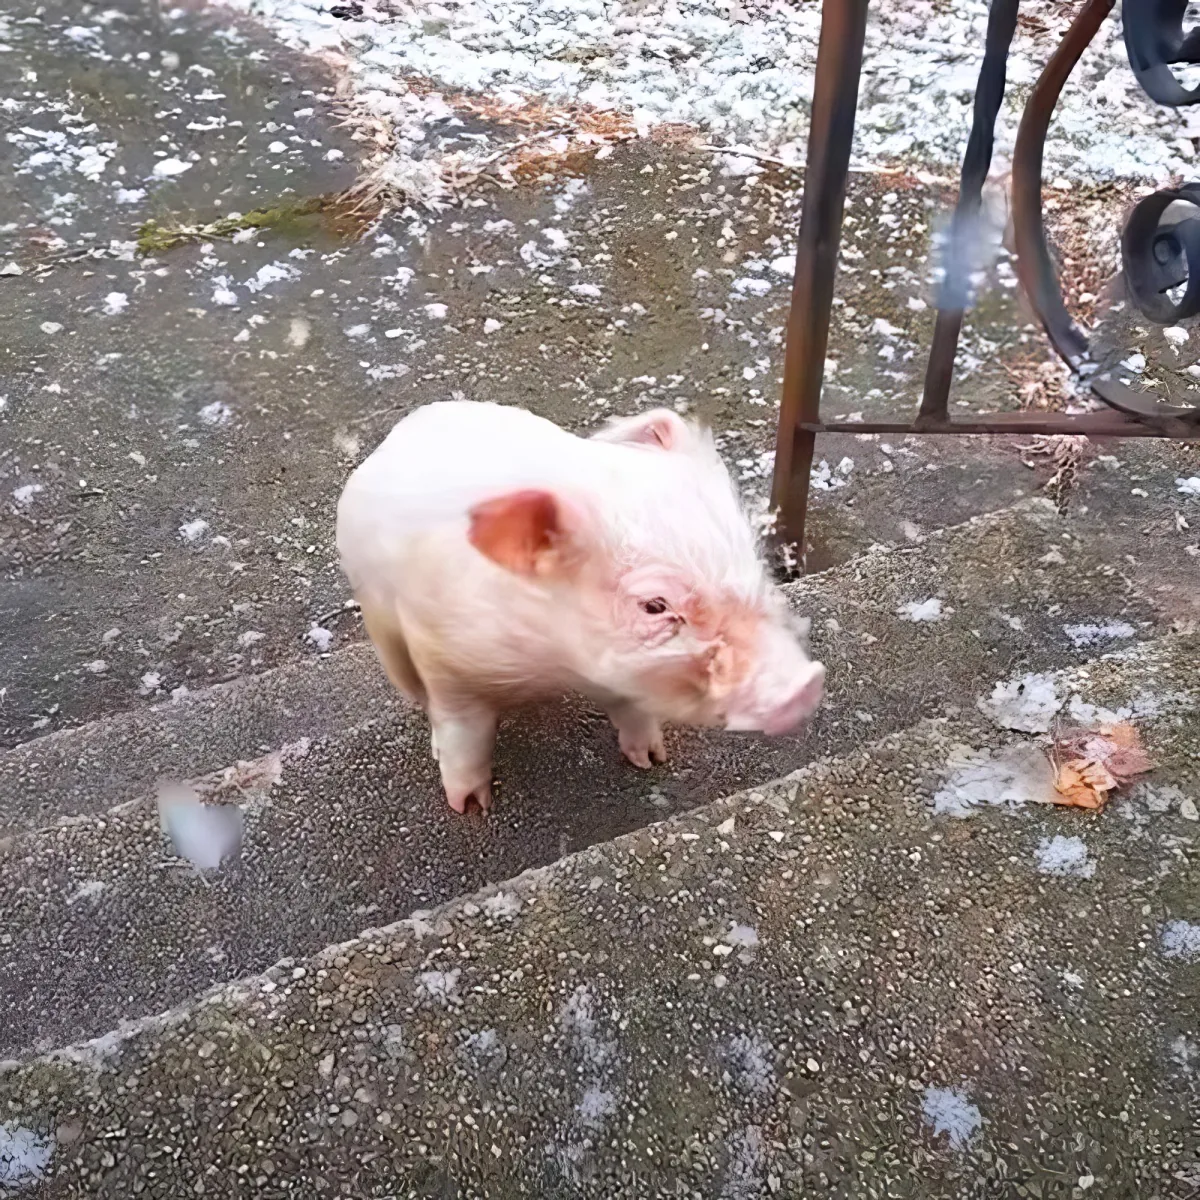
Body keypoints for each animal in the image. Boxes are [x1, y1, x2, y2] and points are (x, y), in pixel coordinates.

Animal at [336, 400, 824, 814]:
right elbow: (464, 733)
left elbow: (631, 707)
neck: (551, 667)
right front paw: (472, 810)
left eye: (750, 558)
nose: (806, 683)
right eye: (654, 605)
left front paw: (651, 760)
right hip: (375, 610)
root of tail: (404, 428)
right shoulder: (443, 657)